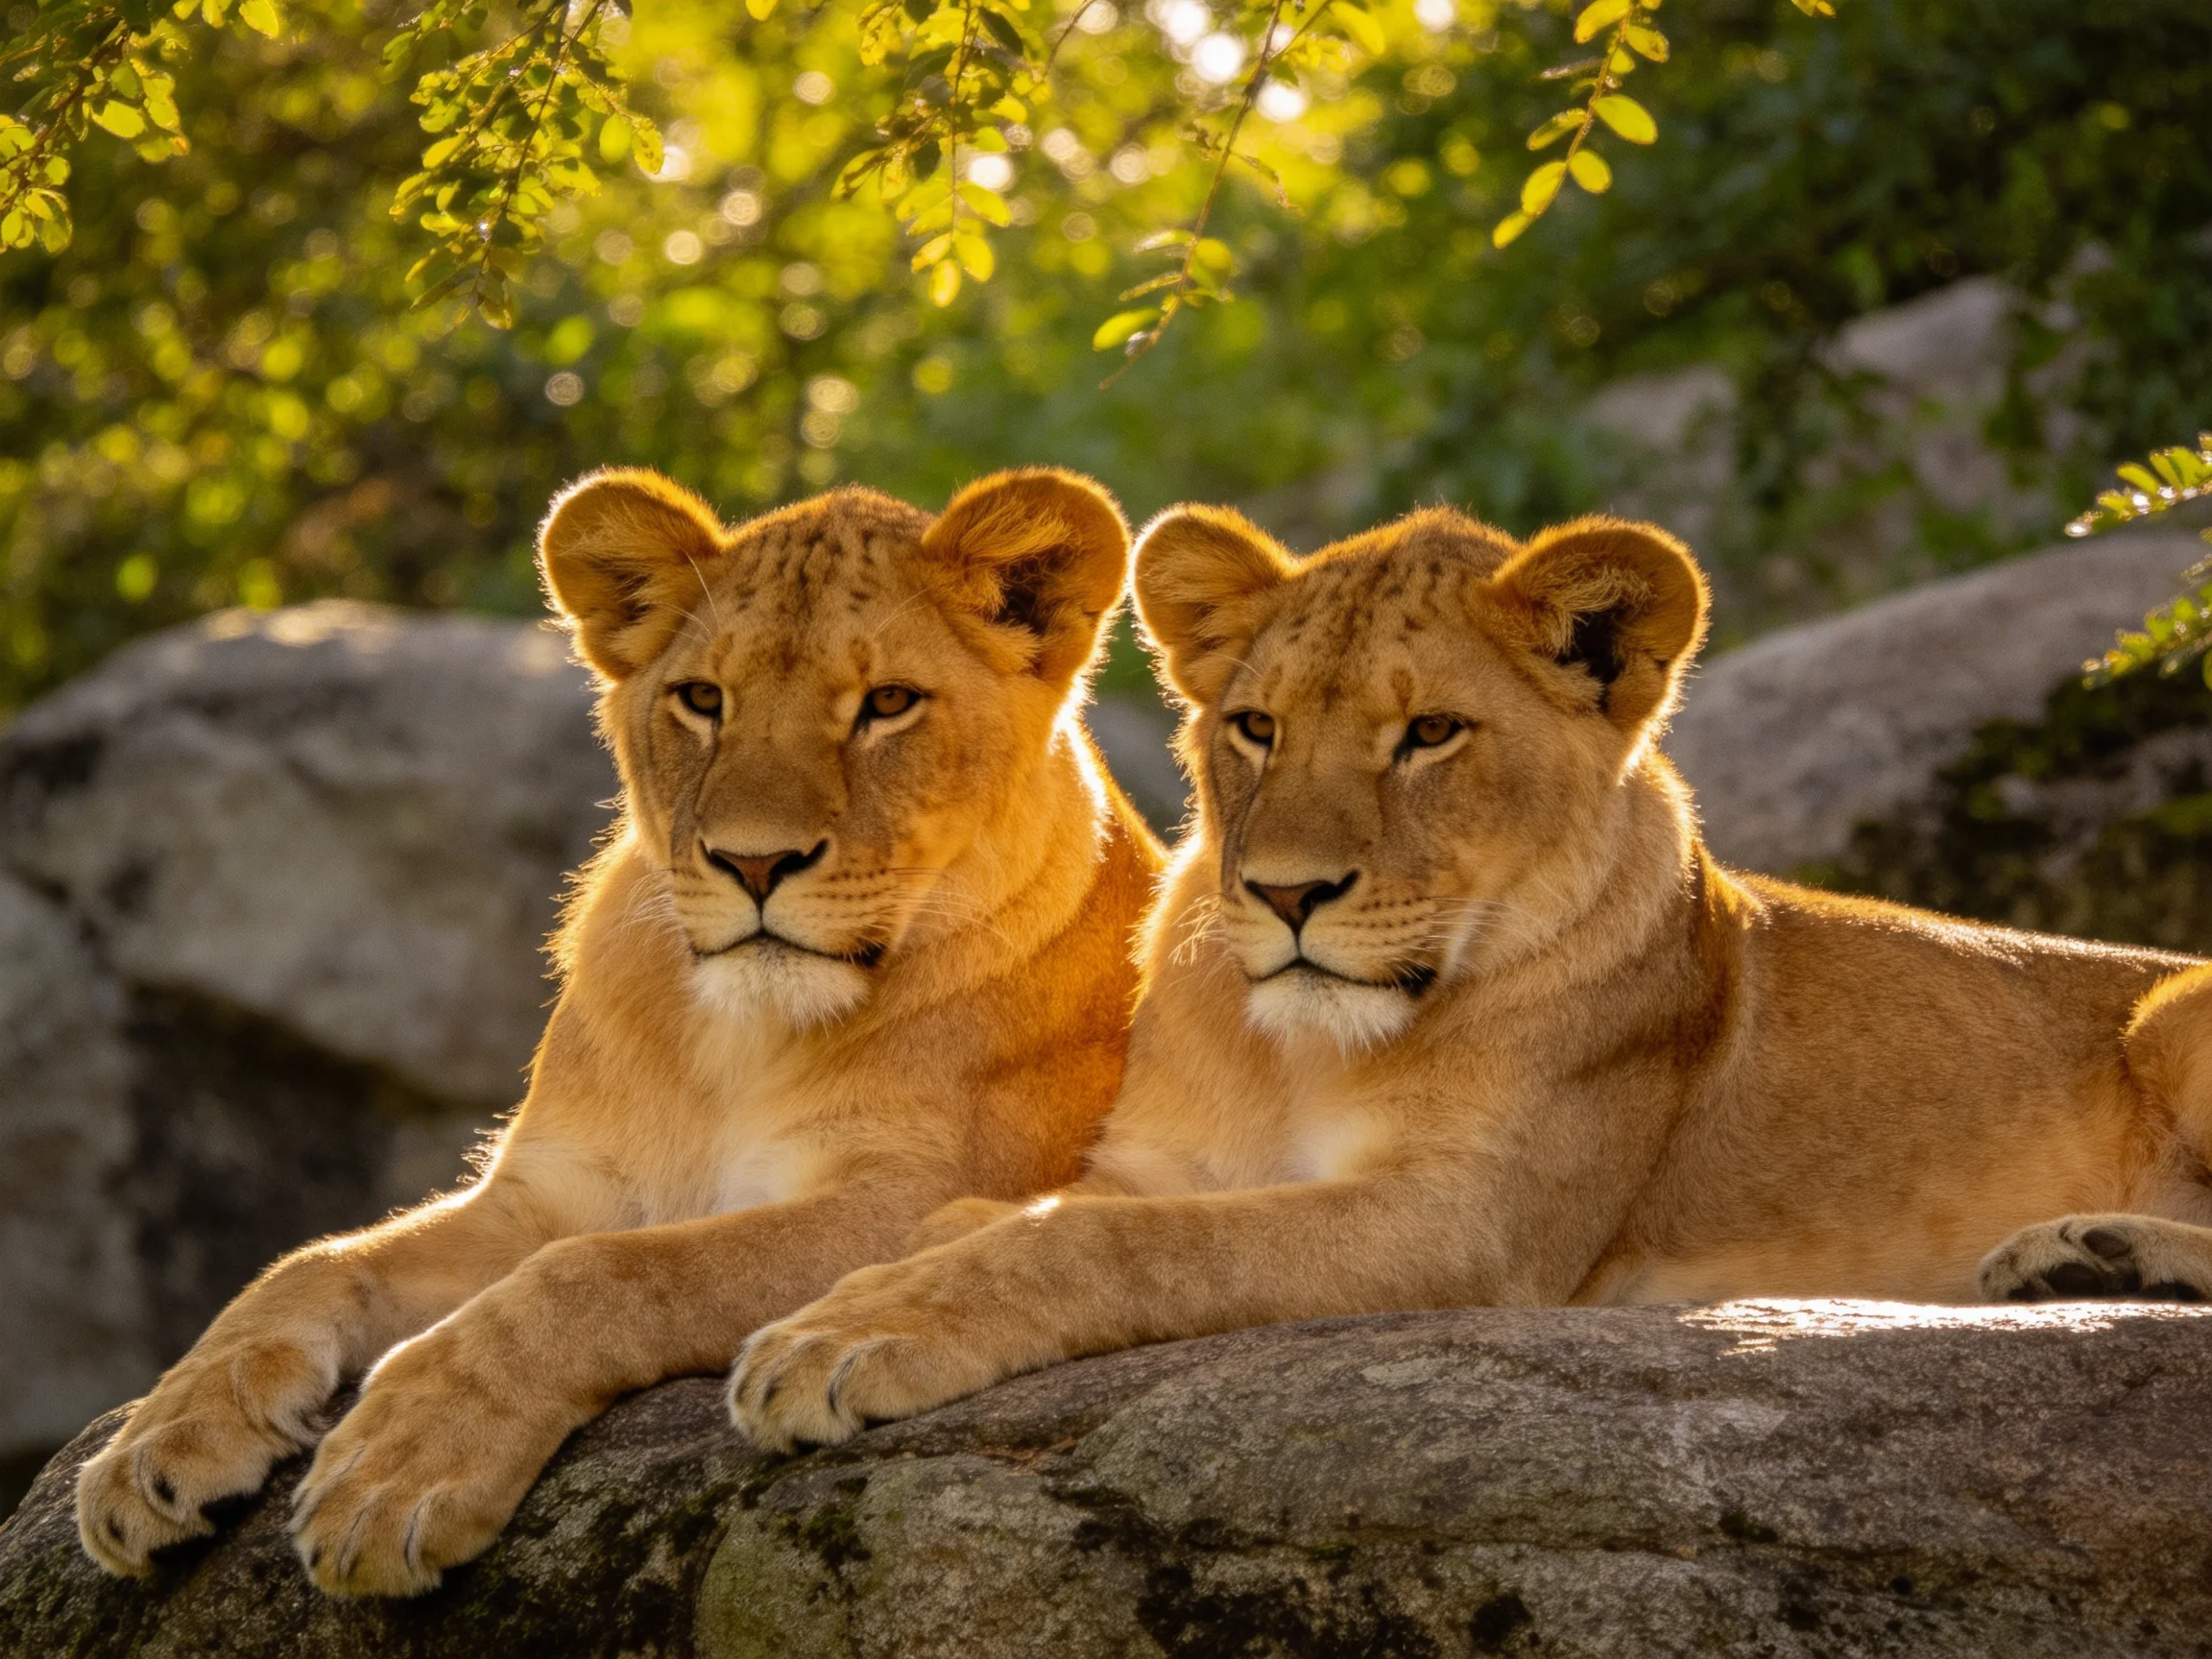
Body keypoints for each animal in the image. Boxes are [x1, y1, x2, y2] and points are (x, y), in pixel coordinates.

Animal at [76, 466, 1162, 1595]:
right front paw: (160, 1442)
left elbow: (607, 1274)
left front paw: (400, 1465)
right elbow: (314, 1263)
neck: (740, 1038)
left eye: (889, 704)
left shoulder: (922, 1197)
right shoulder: (551, 1191)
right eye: (704, 700)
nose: (754, 863)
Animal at [729, 503, 2212, 1452]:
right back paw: (2074, 1258)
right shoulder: (1153, 1161)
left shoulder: (1468, 1227)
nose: (1287, 895)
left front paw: (844, 1336)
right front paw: (895, 1268)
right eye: (1254, 729)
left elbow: (1110, 1245)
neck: (1298, 1048)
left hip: (2172, 1012)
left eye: (1430, 734)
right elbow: (1020, 1215)